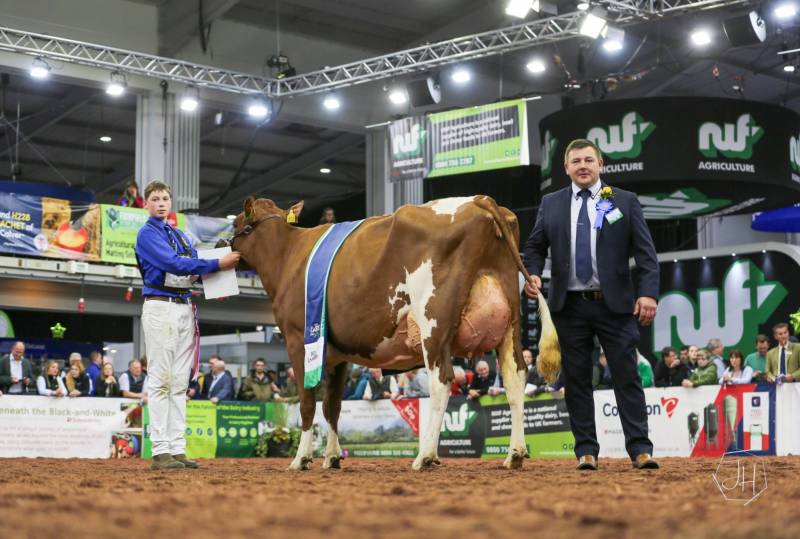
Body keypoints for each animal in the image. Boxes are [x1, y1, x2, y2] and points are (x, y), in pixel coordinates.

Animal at [230, 196, 556, 470]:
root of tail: (479, 200)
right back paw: (515, 454)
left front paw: (301, 459)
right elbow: (333, 406)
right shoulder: (337, 354)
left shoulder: (299, 340)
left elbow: (308, 404)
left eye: (235, 224)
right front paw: (332, 458)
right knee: (515, 378)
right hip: (509, 324)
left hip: (433, 325)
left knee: (442, 382)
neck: (288, 256)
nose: (225, 245)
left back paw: (426, 456)